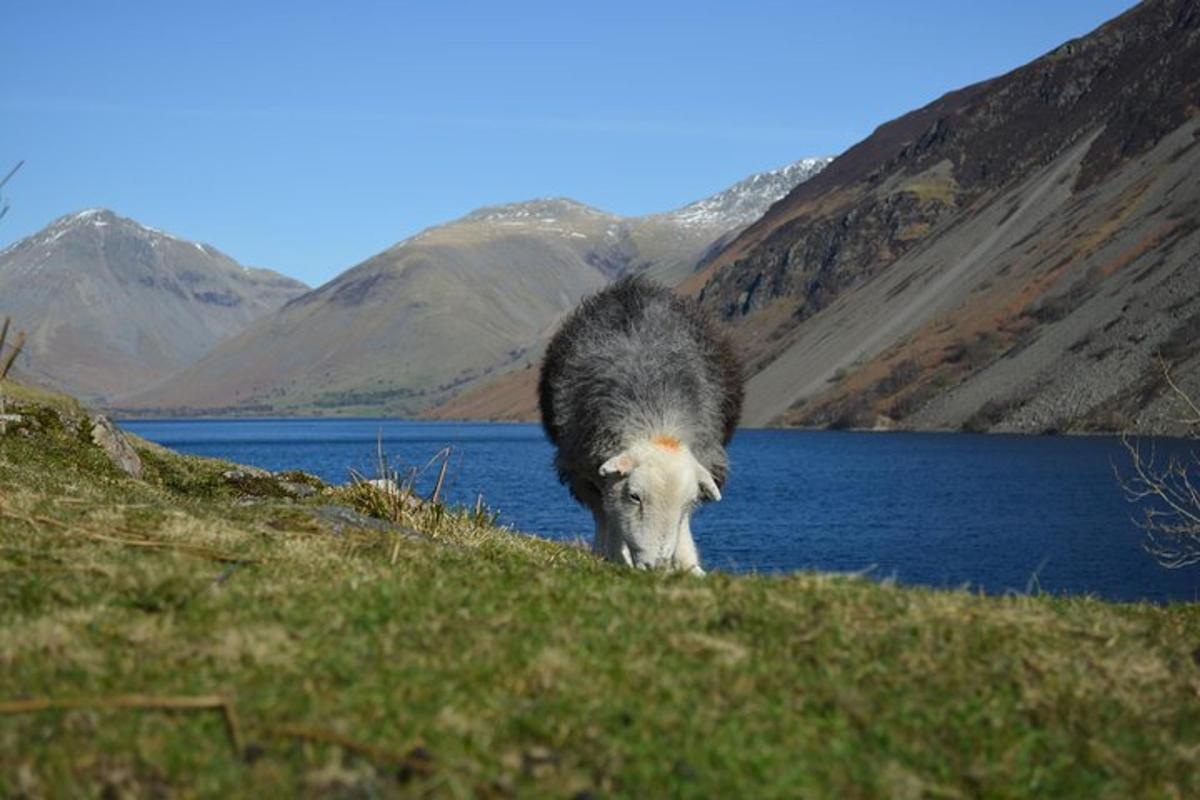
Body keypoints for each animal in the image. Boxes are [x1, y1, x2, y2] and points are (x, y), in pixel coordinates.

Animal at [537, 275, 739, 575]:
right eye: (634, 497)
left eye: (687, 502)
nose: (656, 567)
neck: (657, 422)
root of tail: (633, 285)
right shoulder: (583, 470)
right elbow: (606, 513)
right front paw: (611, 555)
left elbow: (683, 525)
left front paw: (688, 566)